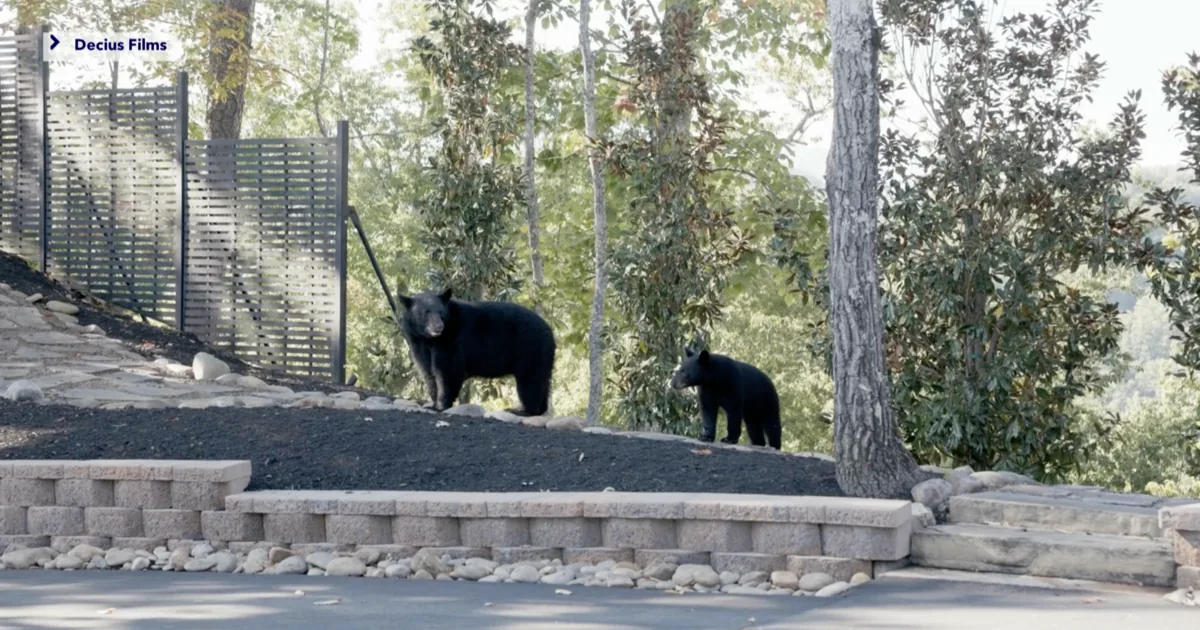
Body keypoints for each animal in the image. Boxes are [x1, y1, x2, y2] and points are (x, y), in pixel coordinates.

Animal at [397, 287, 556, 416]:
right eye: (426, 312)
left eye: (440, 312)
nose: (438, 327)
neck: (430, 339)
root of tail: (549, 330)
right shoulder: (418, 344)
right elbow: (427, 371)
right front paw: (434, 402)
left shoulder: (451, 339)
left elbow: (447, 370)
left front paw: (441, 405)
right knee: (543, 380)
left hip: (530, 348)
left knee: (530, 380)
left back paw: (523, 410)